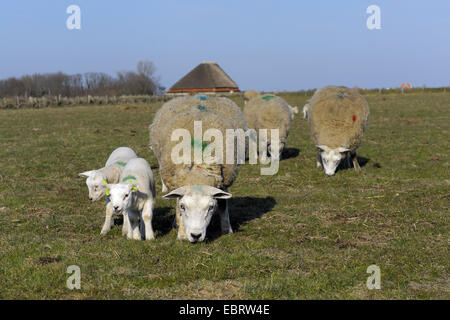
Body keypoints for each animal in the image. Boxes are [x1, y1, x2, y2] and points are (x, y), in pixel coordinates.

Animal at [152, 105, 239, 242]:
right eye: (183, 206)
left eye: (211, 207)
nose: (196, 235)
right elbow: (178, 208)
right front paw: (182, 235)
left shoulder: (223, 182)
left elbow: (223, 205)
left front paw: (227, 230)